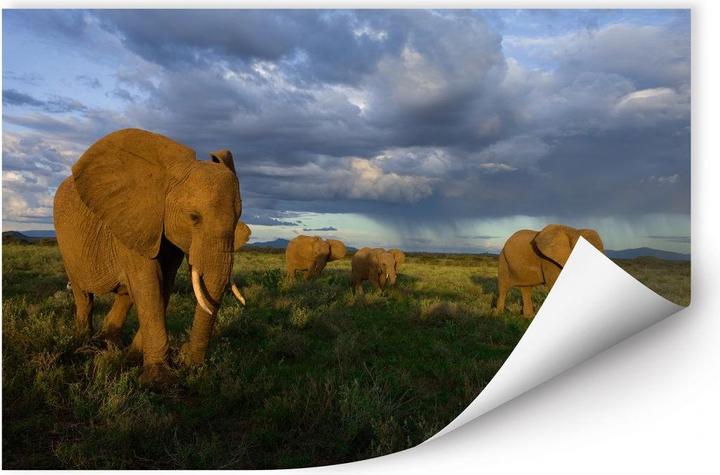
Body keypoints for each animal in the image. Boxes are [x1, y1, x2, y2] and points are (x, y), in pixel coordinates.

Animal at [54, 128, 248, 387]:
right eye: (193, 217)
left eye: (238, 219)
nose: (186, 357)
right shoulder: (134, 221)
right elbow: (149, 284)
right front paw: (158, 380)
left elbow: (162, 284)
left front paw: (135, 359)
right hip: (67, 246)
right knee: (84, 295)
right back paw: (84, 346)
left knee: (125, 294)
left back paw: (110, 345)